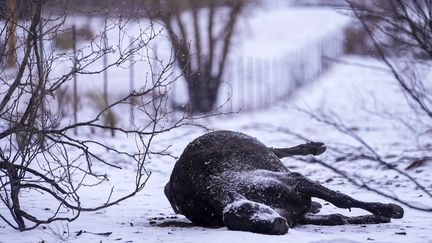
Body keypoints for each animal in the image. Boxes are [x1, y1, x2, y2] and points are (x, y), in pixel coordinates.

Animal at [164, 132, 404, 234]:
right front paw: (379, 217)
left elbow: (341, 200)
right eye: (242, 224)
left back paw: (314, 147)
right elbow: (337, 217)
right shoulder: (299, 213)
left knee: (277, 150)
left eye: (251, 209)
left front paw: (390, 209)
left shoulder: (297, 181)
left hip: (261, 148)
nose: (278, 226)